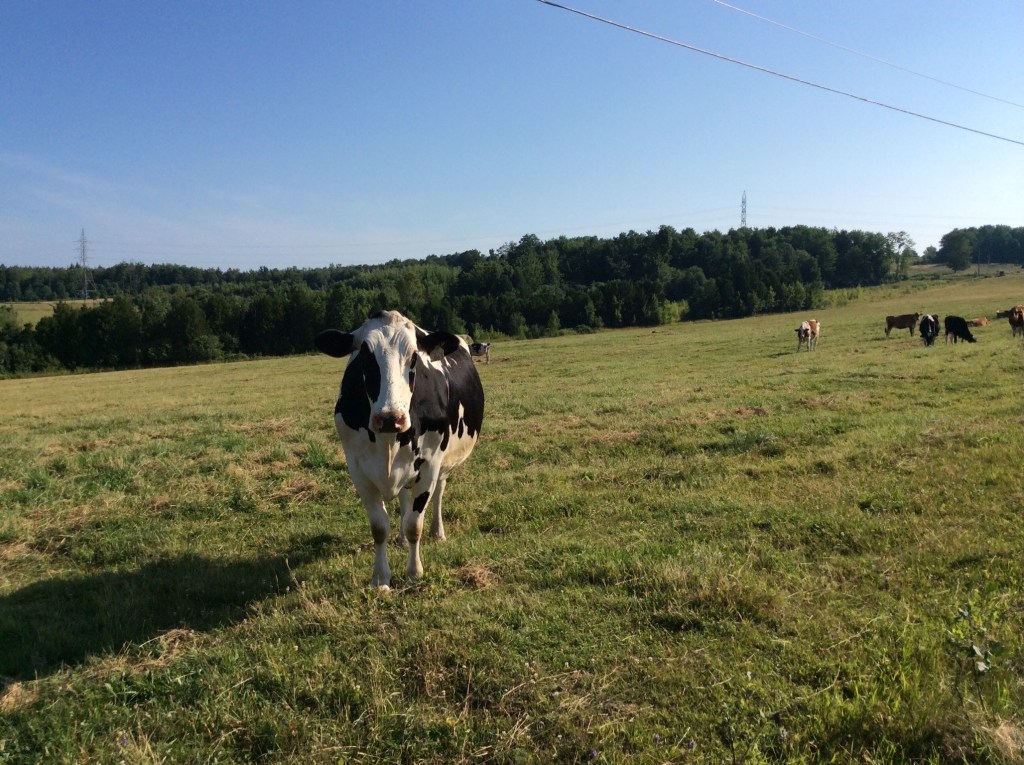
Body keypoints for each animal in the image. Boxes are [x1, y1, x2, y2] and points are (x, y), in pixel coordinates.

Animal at [315, 310, 485, 589]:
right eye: (364, 356)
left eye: (414, 357)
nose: (389, 417)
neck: (389, 441)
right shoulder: (358, 469)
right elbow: (380, 527)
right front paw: (380, 578)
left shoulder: (429, 464)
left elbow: (415, 524)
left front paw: (414, 573)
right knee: (405, 499)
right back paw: (401, 540)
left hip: (444, 463)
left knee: (438, 493)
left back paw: (437, 532)